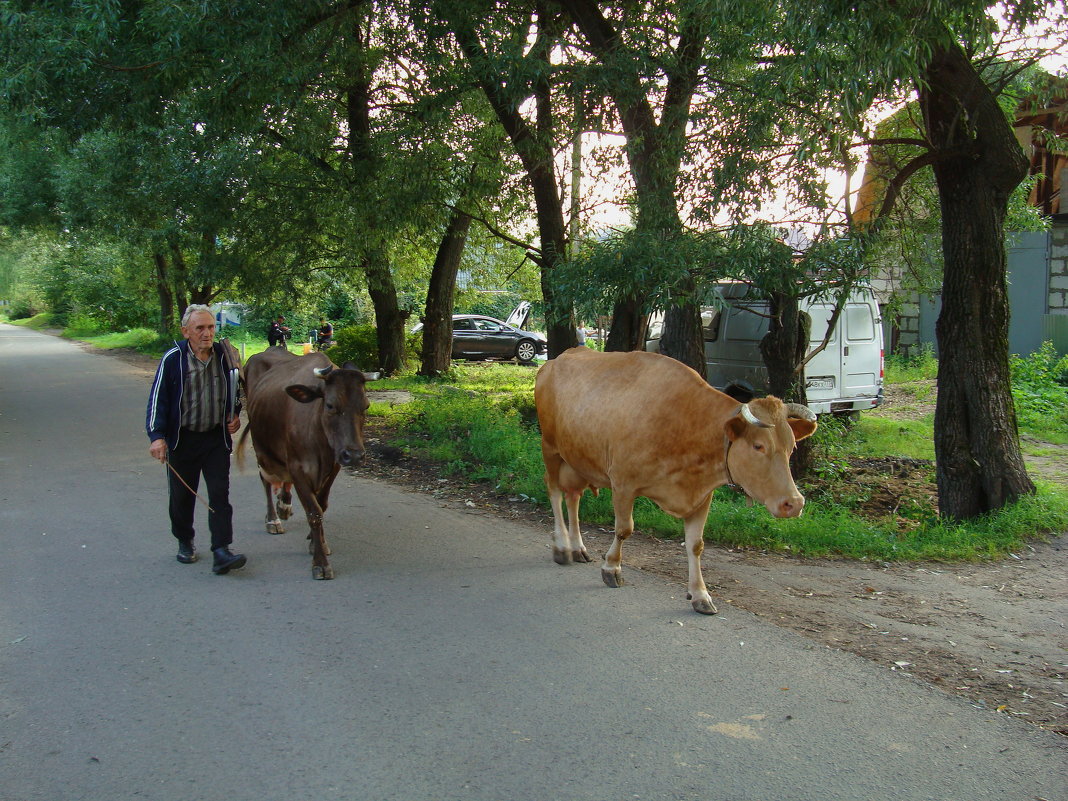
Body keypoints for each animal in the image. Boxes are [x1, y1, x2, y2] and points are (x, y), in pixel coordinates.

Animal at [238, 348, 380, 580]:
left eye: (366, 406)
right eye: (330, 405)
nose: (354, 455)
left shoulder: (334, 466)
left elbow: (321, 506)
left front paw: (317, 542)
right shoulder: (298, 468)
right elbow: (314, 512)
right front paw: (320, 562)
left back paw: (284, 505)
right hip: (261, 449)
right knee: (266, 480)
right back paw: (273, 519)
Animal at [534, 348, 815, 619]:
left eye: (791, 447)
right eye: (758, 446)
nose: (794, 503)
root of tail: (557, 359)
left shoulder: (701, 495)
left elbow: (696, 545)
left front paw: (700, 595)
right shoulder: (623, 483)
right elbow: (624, 529)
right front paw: (611, 568)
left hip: (578, 458)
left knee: (573, 496)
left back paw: (578, 547)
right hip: (550, 448)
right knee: (555, 490)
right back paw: (562, 547)